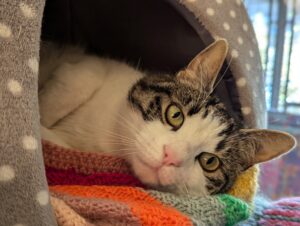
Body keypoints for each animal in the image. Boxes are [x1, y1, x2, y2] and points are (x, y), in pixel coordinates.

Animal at [38, 39, 296, 197]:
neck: (110, 143)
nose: (170, 157)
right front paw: (40, 120)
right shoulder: (92, 64)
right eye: (175, 115)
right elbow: (84, 76)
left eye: (210, 162)